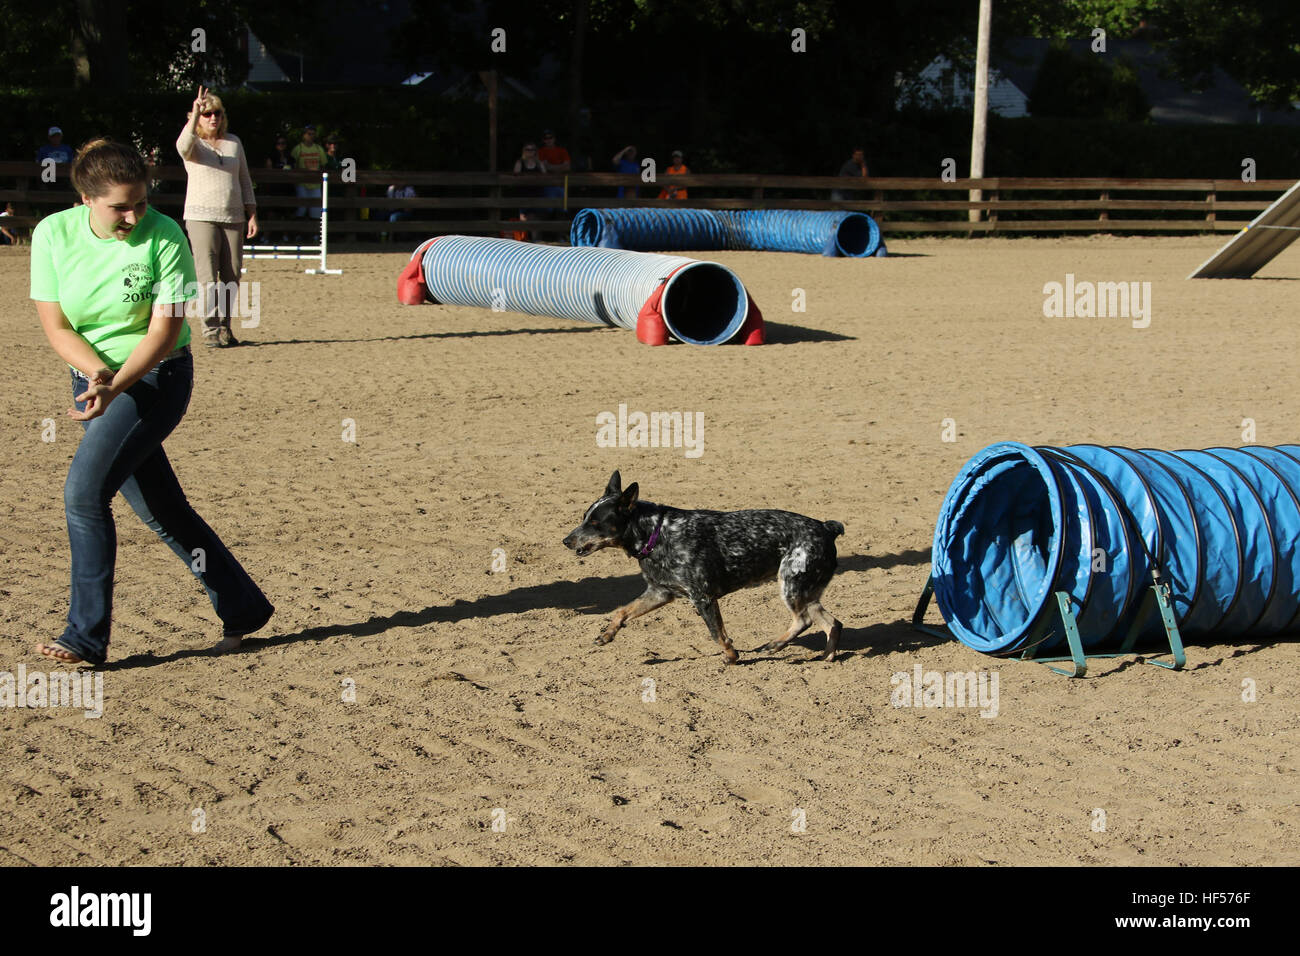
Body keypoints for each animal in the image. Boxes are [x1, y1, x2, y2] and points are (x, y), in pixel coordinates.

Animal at [564, 470, 847, 665]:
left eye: (596, 523)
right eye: (584, 518)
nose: (566, 540)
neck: (657, 533)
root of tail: (826, 528)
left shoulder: (703, 598)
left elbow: (717, 633)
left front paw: (731, 656)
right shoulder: (659, 593)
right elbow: (622, 611)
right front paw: (607, 635)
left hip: (790, 586)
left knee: (804, 620)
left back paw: (774, 645)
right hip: (806, 592)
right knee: (833, 623)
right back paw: (826, 657)